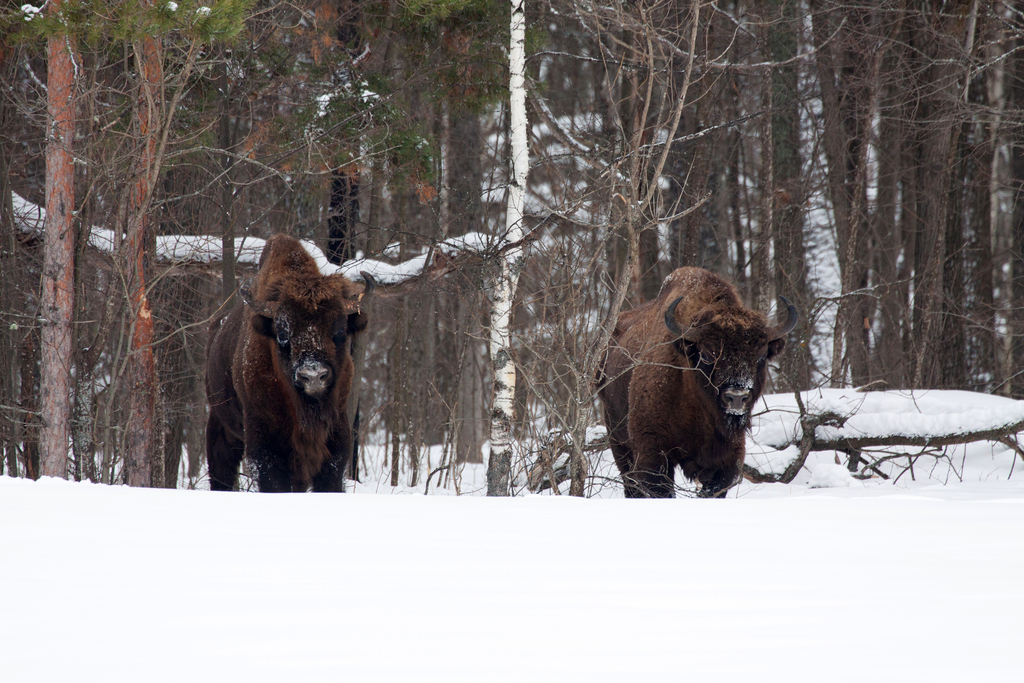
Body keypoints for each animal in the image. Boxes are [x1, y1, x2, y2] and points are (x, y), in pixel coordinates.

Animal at [205, 234, 374, 492]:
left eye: (340, 330)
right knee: (221, 470)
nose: (313, 376)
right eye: (283, 333)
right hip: (220, 424)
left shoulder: (336, 440)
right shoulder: (264, 446)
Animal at [598, 267, 797, 498]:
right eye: (708, 354)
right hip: (619, 442)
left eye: (762, 355)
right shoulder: (653, 455)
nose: (737, 397)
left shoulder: (727, 460)